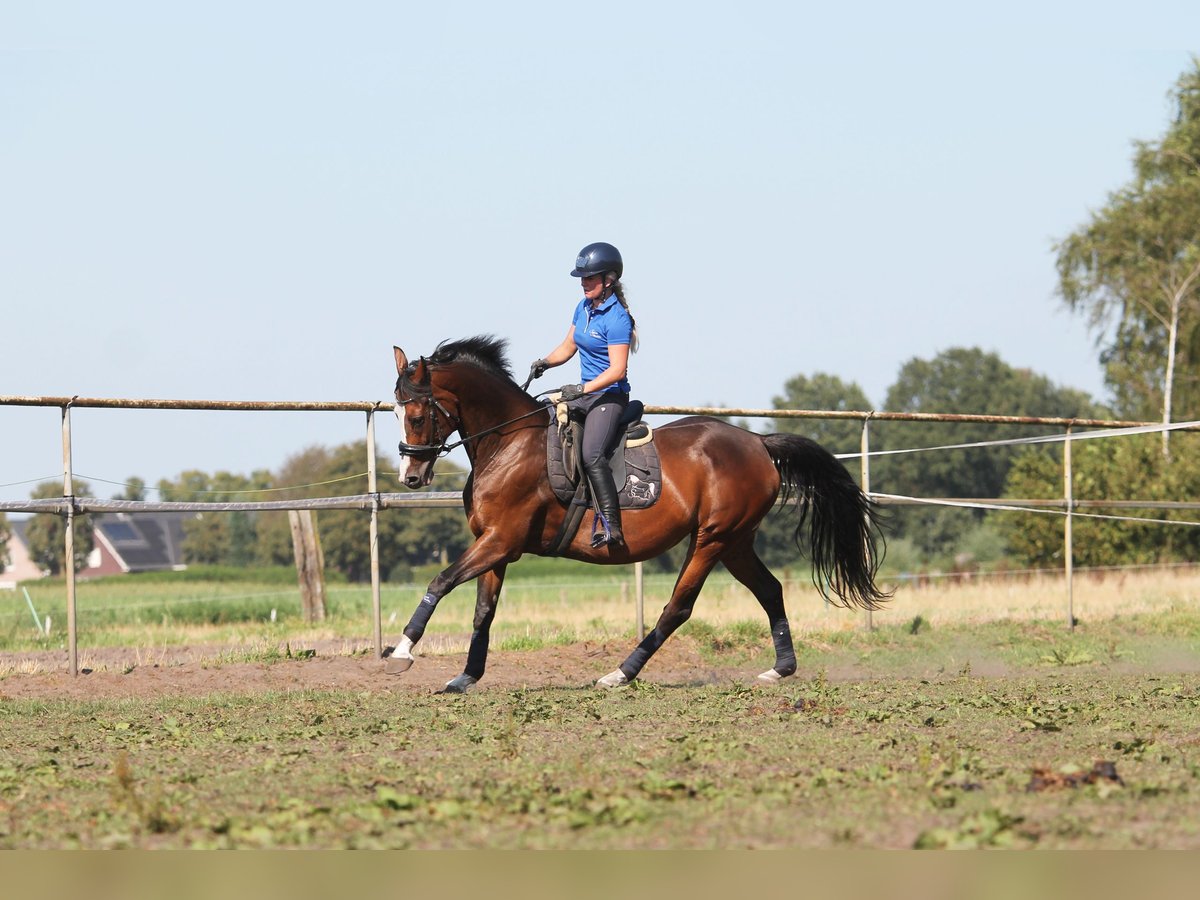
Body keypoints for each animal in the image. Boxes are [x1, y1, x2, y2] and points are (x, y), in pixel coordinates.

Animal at [386, 336, 892, 696]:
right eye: (395, 411)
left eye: (417, 415)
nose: (410, 476)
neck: (508, 443)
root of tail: (757, 442)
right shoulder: (496, 544)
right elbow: (483, 612)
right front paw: (465, 677)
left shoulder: (501, 539)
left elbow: (441, 581)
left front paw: (403, 650)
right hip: (736, 542)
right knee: (769, 590)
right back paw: (780, 669)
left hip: (712, 538)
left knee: (678, 608)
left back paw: (620, 674)